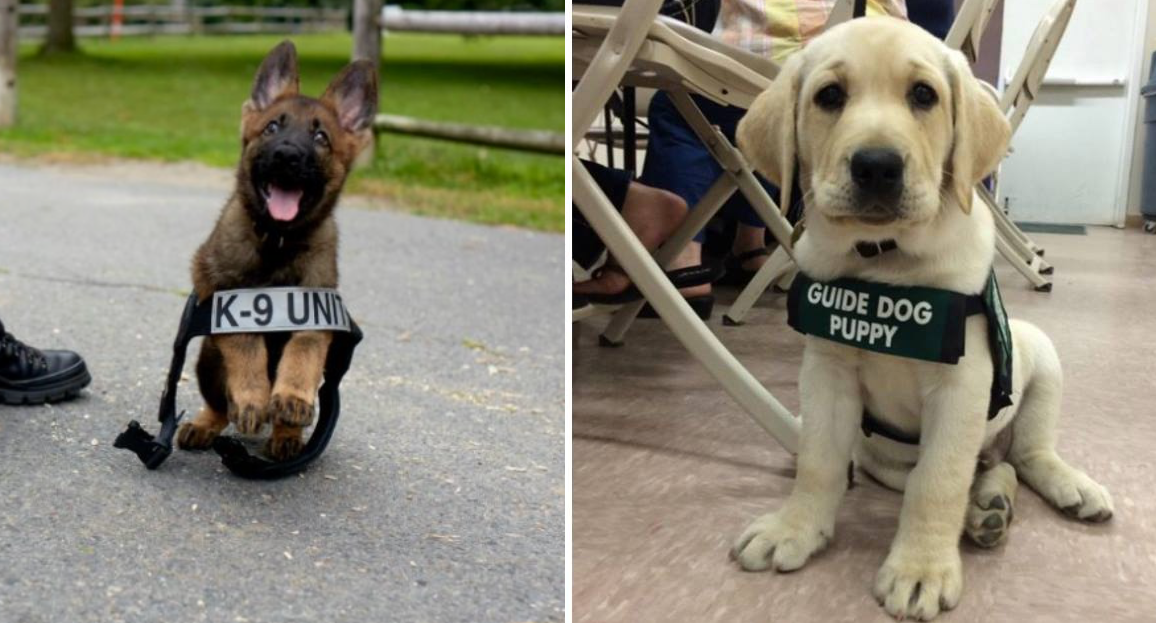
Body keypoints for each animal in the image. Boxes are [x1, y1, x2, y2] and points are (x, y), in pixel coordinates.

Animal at [175, 41, 376, 460]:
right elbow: (247, 345)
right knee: (220, 405)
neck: (278, 242)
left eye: (321, 138)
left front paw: (292, 398)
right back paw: (207, 423)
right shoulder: (224, 297)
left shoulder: (316, 309)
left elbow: (303, 351)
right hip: (207, 359)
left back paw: (286, 433)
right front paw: (253, 397)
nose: (287, 155)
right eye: (271, 128)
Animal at [730, 17, 1109, 619]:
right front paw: (794, 528)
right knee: (986, 467)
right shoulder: (826, 374)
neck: (885, 261)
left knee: (1026, 454)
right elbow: (819, 461)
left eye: (924, 96)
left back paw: (1065, 487)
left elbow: (938, 480)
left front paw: (921, 569)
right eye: (829, 96)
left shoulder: (961, 386)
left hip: (1040, 357)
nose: (877, 166)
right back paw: (989, 507)